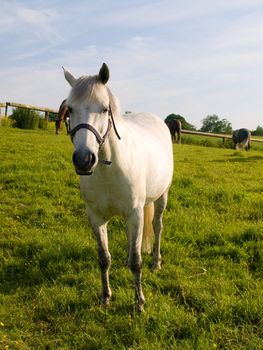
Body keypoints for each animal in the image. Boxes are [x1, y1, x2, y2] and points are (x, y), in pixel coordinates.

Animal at [63, 61, 174, 310]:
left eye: (105, 109)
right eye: (70, 109)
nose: (84, 159)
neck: (109, 169)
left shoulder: (135, 214)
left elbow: (136, 262)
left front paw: (139, 302)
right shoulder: (96, 217)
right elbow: (104, 258)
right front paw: (106, 297)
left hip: (161, 197)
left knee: (158, 226)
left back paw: (156, 261)